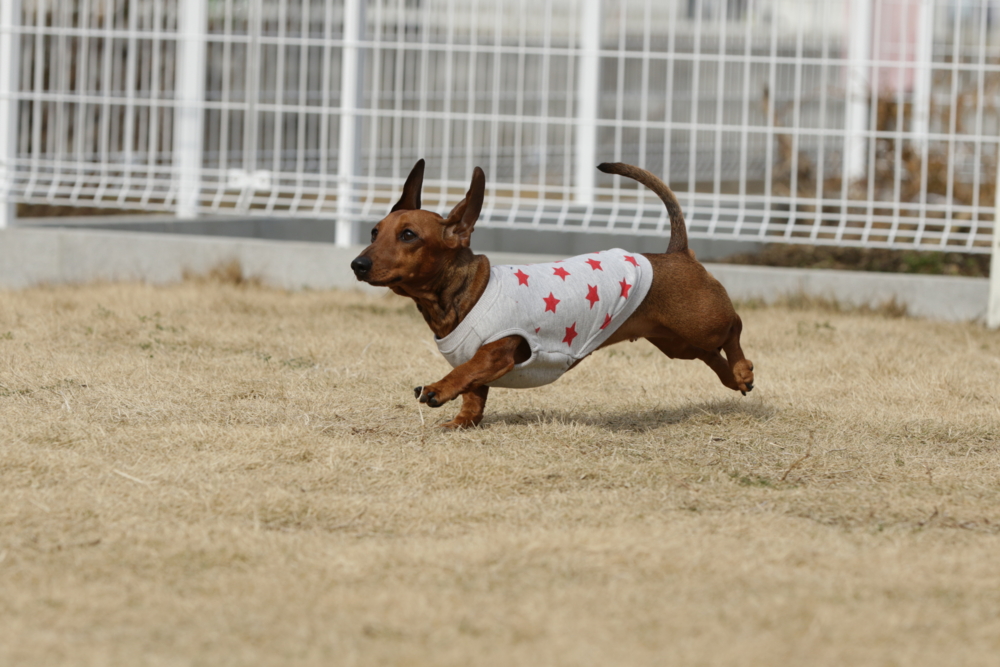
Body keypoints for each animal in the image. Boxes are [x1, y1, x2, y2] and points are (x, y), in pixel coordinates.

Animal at [352, 163, 752, 434]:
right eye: (374, 231)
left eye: (408, 235)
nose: (358, 264)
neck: (467, 293)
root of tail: (677, 252)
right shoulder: (480, 368)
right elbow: (473, 393)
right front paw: (460, 422)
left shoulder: (499, 351)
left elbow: (464, 371)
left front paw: (438, 388)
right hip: (676, 342)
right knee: (710, 355)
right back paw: (735, 380)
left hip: (701, 323)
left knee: (734, 328)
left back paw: (742, 369)